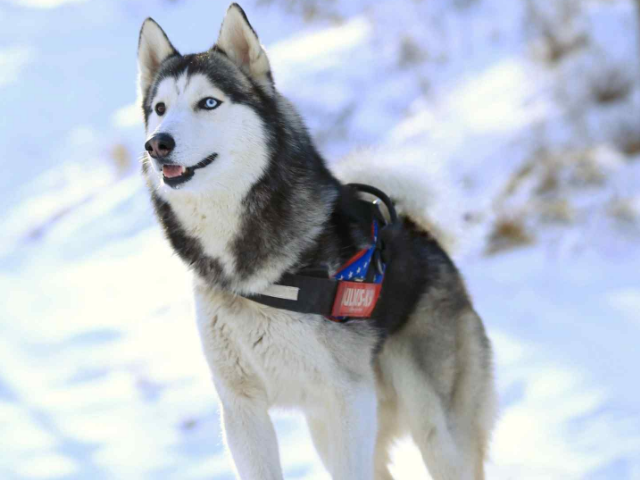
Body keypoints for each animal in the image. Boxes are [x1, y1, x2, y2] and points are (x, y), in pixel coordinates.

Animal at [135, 4, 496, 480]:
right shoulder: (242, 408)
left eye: (208, 102)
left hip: (435, 429)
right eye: (160, 108)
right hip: (329, 428)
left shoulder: (347, 399)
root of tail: (420, 231)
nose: (157, 144)